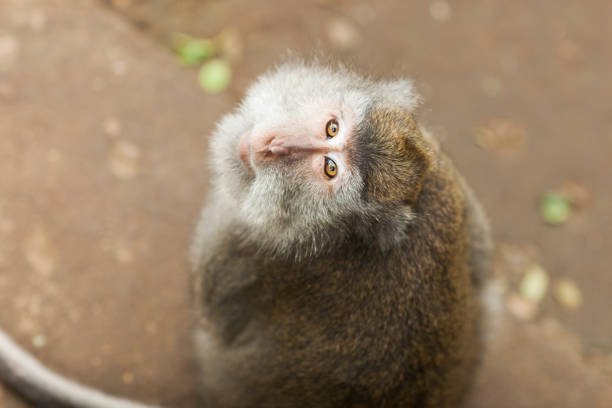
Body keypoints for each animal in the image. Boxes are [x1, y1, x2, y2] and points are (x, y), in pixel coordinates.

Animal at [0, 60, 492, 408]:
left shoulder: (236, 241)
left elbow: (216, 316)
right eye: (332, 127)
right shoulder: (450, 178)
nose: (274, 144)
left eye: (329, 168)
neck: (340, 231)